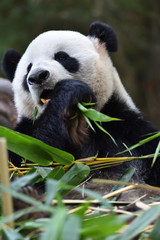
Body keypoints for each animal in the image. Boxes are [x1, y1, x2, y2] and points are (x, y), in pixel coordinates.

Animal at [1, 22, 160, 186]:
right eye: (28, 69)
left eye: (61, 56)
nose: (37, 76)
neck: (80, 121)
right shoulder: (20, 135)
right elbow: (28, 161)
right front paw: (70, 91)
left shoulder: (128, 130)